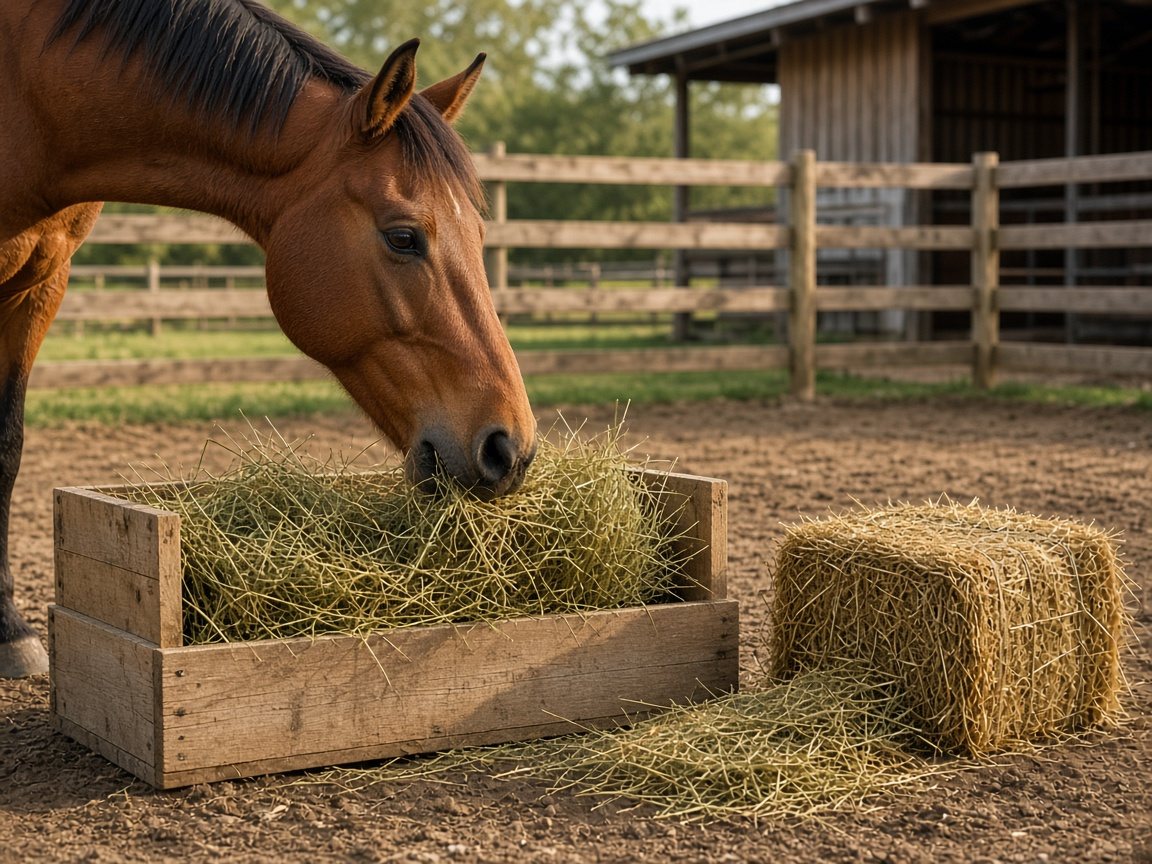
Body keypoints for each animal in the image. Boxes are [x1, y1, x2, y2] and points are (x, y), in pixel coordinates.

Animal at [0, 0, 538, 677]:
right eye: (404, 236)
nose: (509, 448)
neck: (32, 92)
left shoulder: (43, 284)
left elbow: (6, 447)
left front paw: (9, 631)